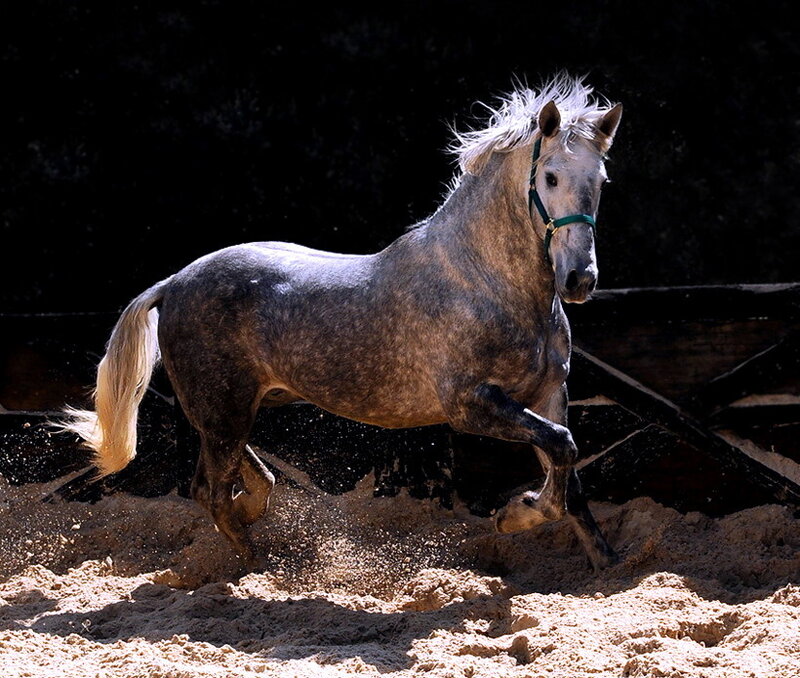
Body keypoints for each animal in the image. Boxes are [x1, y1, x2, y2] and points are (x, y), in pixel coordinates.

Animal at [62, 76, 623, 572]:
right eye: (549, 177)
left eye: (600, 182)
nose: (579, 279)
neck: (485, 282)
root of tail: (173, 282)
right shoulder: (470, 405)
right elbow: (562, 449)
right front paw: (514, 515)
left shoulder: (547, 393)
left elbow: (570, 474)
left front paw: (606, 566)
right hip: (223, 411)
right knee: (210, 490)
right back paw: (255, 567)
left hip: (237, 409)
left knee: (246, 480)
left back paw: (254, 526)